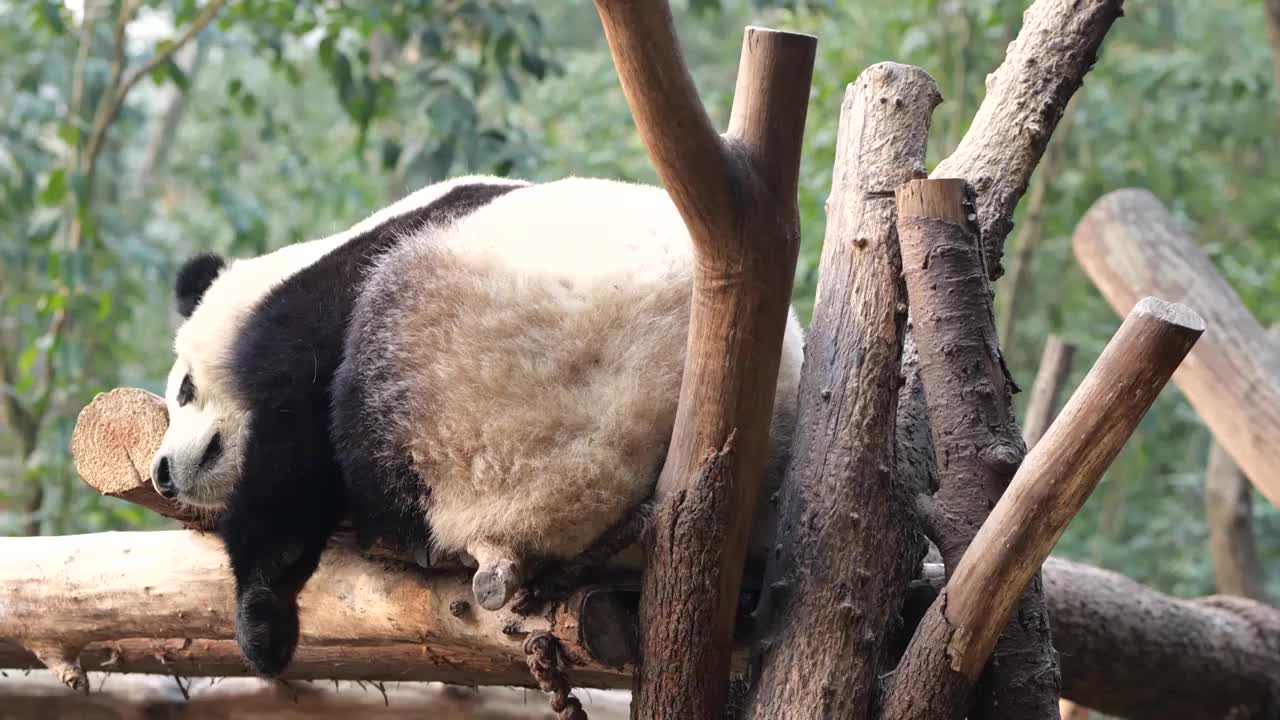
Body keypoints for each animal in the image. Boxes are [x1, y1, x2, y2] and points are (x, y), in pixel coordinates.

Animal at [149, 174, 803, 671]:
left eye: (184, 390)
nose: (162, 474)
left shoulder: (320, 312)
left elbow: (290, 470)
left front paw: (262, 626)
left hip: (477, 382)